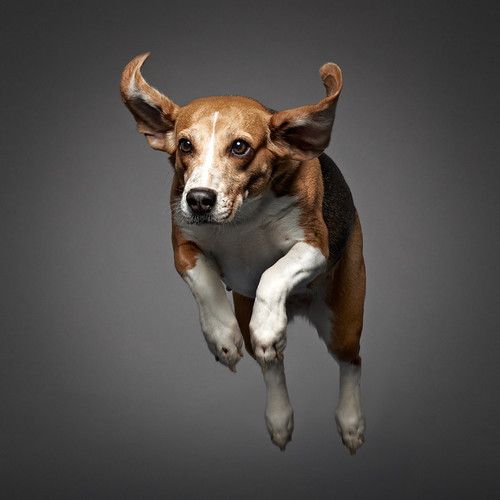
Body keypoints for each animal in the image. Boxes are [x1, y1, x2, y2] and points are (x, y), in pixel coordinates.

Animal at [119, 53, 366, 454]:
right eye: (185, 144)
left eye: (240, 147)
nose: (199, 200)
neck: (242, 218)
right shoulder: (181, 247)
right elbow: (205, 283)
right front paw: (222, 337)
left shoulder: (315, 247)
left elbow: (273, 273)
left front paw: (267, 323)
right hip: (247, 310)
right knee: (271, 363)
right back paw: (279, 416)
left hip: (343, 320)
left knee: (351, 361)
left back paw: (350, 420)